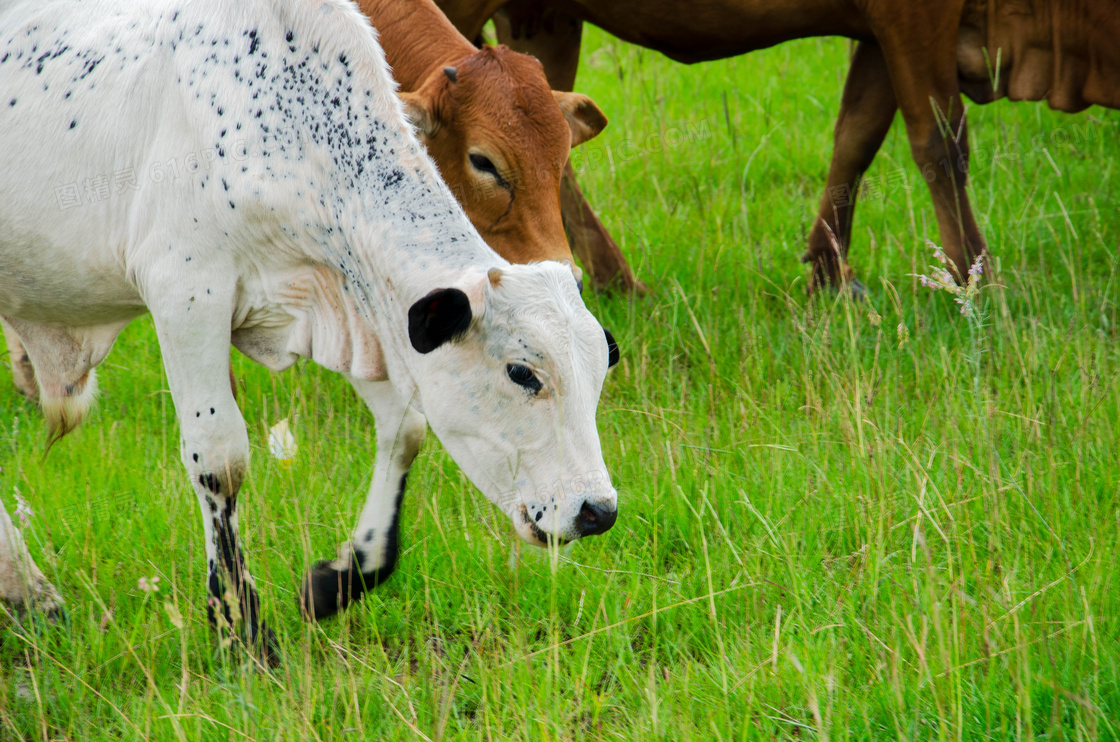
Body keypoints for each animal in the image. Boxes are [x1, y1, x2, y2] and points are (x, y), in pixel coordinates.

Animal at [0, 0, 622, 663]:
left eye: (598, 371)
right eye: (522, 373)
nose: (597, 510)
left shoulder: (350, 309)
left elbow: (407, 431)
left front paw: (341, 579)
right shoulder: (186, 295)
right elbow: (218, 458)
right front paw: (240, 628)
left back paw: (30, 593)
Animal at [432, 0, 1120, 295]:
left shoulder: (878, 37)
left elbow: (856, 137)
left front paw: (829, 271)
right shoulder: (915, 21)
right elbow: (942, 144)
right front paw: (976, 277)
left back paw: (611, 279)